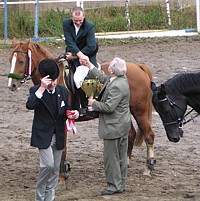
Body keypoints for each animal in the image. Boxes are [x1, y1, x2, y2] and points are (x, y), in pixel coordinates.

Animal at [7, 37, 155, 183]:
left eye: (21, 61)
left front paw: (62, 177)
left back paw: (148, 168)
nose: (11, 86)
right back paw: (125, 164)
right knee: (130, 134)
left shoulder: (63, 120)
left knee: (149, 135)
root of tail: (139, 67)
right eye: (10, 61)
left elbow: (63, 148)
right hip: (123, 112)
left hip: (139, 112)